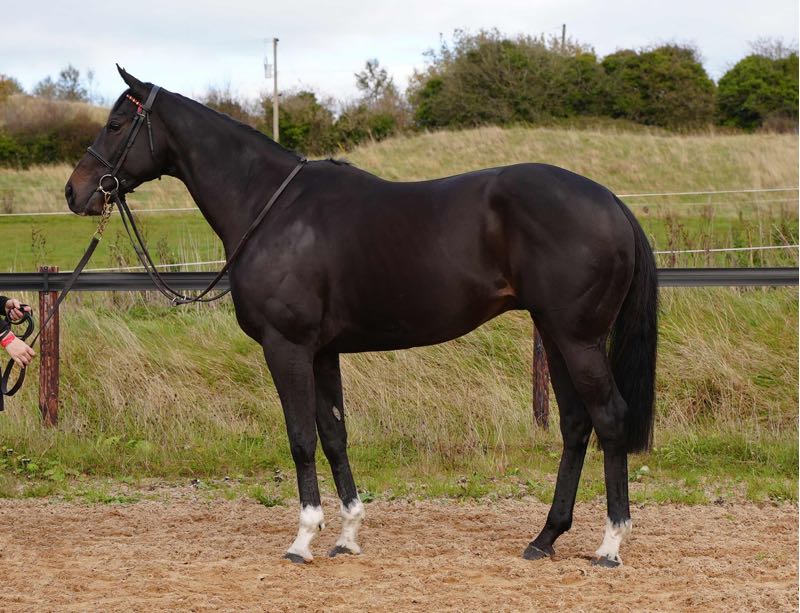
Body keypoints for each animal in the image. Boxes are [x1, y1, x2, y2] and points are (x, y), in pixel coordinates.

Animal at [65, 66, 657, 567]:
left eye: (116, 123)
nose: (76, 191)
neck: (271, 208)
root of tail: (611, 202)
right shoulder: (322, 352)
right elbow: (334, 435)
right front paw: (347, 535)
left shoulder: (286, 346)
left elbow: (300, 437)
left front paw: (303, 538)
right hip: (556, 335)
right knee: (576, 423)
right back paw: (546, 537)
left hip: (578, 340)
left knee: (609, 419)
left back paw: (610, 545)